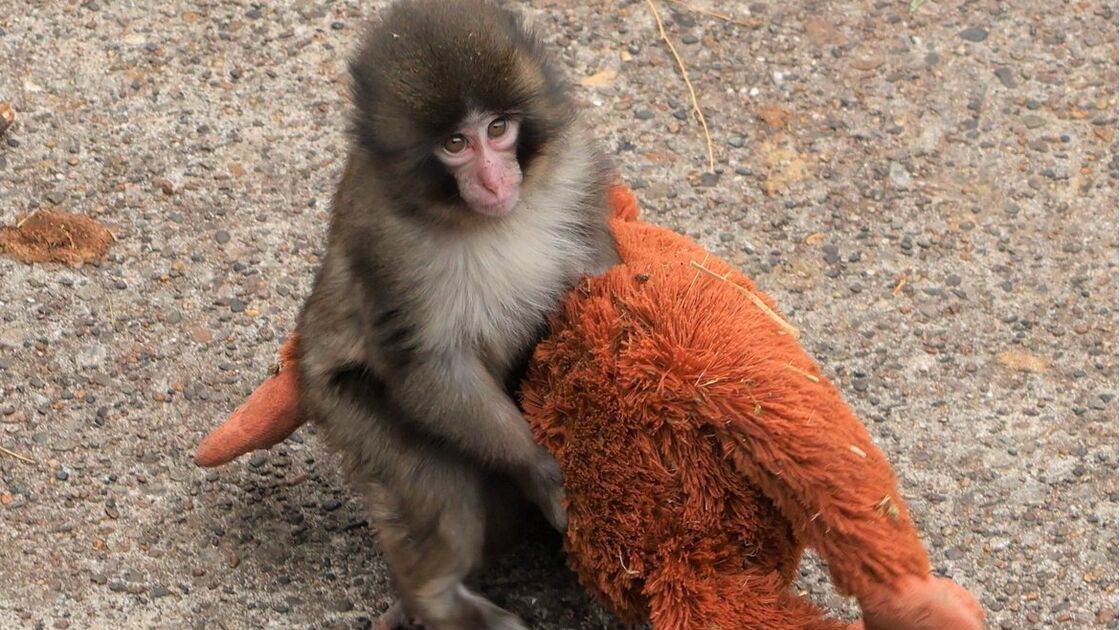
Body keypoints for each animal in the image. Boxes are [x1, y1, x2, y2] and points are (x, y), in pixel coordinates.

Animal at [295, 1, 619, 628]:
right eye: (454, 143)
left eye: (497, 129)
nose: (493, 180)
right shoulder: (386, 243)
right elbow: (429, 367)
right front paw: (539, 467)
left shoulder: (575, 172)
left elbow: (601, 269)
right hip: (342, 404)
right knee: (441, 487)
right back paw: (435, 598)